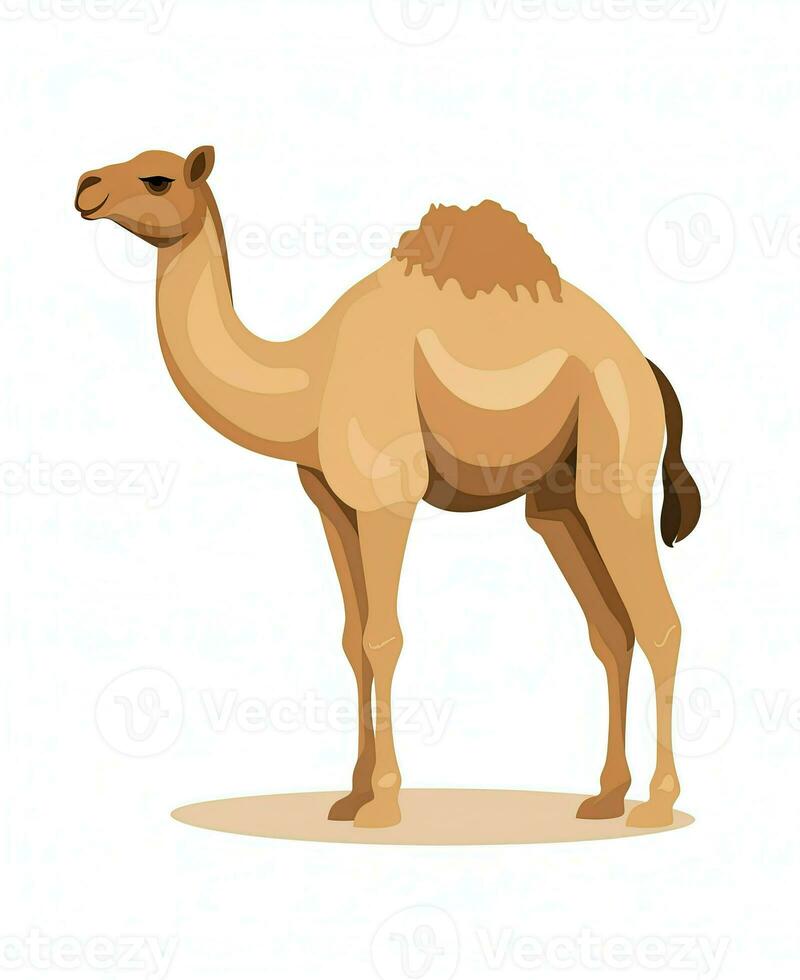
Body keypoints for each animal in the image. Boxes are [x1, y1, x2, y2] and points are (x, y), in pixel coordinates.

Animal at [75, 146, 701, 830]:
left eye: (157, 178)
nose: (85, 188)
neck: (310, 379)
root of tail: (645, 366)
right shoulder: (332, 503)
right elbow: (353, 640)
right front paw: (349, 797)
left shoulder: (386, 493)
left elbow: (383, 637)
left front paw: (384, 802)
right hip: (558, 504)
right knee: (612, 630)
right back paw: (607, 796)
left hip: (614, 464)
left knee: (660, 622)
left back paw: (658, 803)